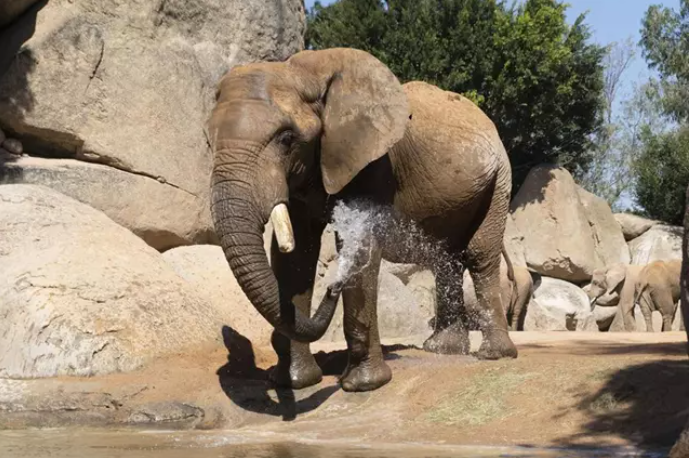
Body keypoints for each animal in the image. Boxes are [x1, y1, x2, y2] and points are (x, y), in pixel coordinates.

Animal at [207, 47, 517, 393]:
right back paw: (442, 349)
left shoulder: (374, 162)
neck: (304, 71)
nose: (332, 287)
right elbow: (296, 256)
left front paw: (362, 385)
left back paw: (493, 355)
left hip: (500, 178)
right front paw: (295, 383)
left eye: (287, 139)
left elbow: (361, 244)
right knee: (445, 259)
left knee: (479, 255)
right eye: (208, 141)